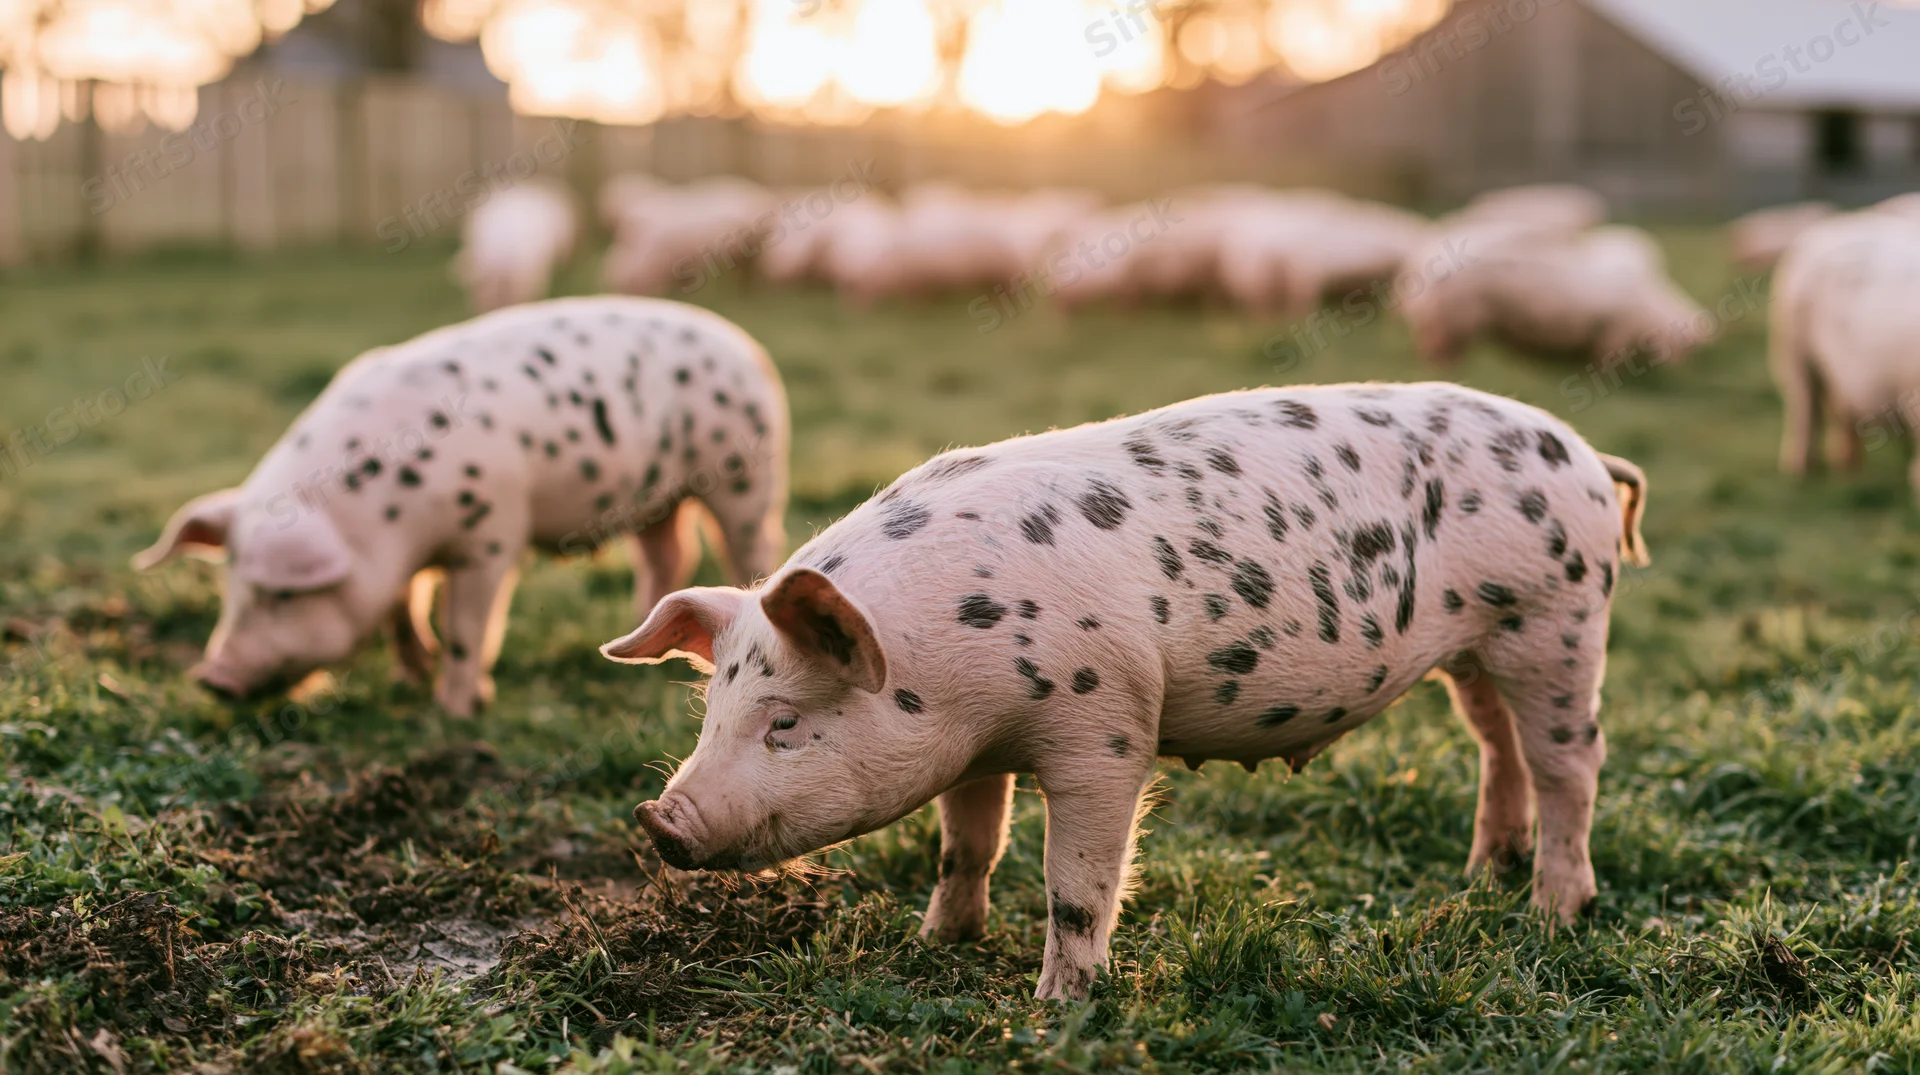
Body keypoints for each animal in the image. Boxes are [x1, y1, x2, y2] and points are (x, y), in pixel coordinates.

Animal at [134, 297, 790, 716]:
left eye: (284, 594)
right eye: (231, 586)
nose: (212, 678)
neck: (388, 516)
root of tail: (748, 348)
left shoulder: (491, 534)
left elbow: (466, 625)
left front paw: (456, 711)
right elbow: (401, 610)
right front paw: (412, 674)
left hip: (746, 473)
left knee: (750, 546)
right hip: (655, 499)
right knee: (668, 554)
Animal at [601, 381, 1649, 1001]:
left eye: (785, 720)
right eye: (711, 711)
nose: (659, 820)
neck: (952, 666)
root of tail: (1587, 454)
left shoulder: (1103, 727)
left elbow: (1077, 882)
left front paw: (1055, 1007)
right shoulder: (972, 750)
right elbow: (967, 844)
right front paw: (940, 944)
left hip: (1558, 620)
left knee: (1571, 759)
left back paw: (1553, 911)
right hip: (1478, 648)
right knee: (1496, 744)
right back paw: (1483, 875)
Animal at [1399, 225, 1714, 368]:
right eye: (1689, 345)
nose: (1681, 369)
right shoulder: (1613, 333)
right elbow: (1604, 360)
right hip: (1454, 315)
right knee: (1438, 349)